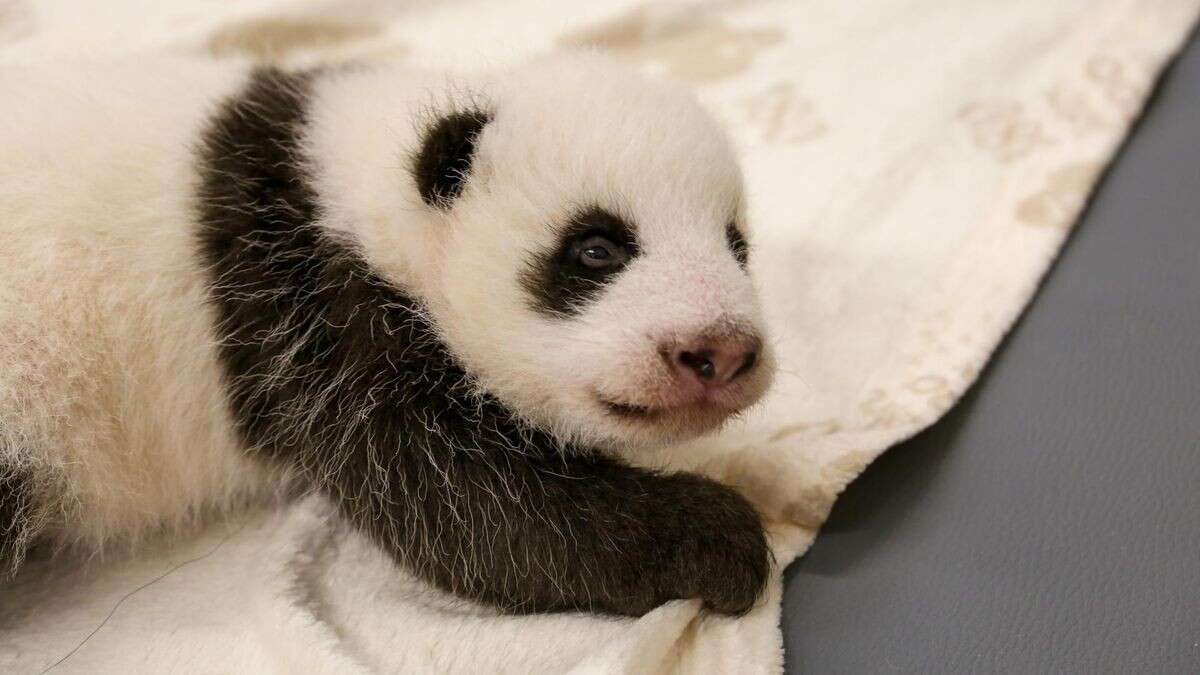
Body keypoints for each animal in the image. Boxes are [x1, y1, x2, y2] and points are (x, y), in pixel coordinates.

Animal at [0, 53, 777, 614]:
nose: (720, 351)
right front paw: (720, 539)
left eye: (738, 245)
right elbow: (468, 505)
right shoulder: (313, 314)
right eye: (596, 248)